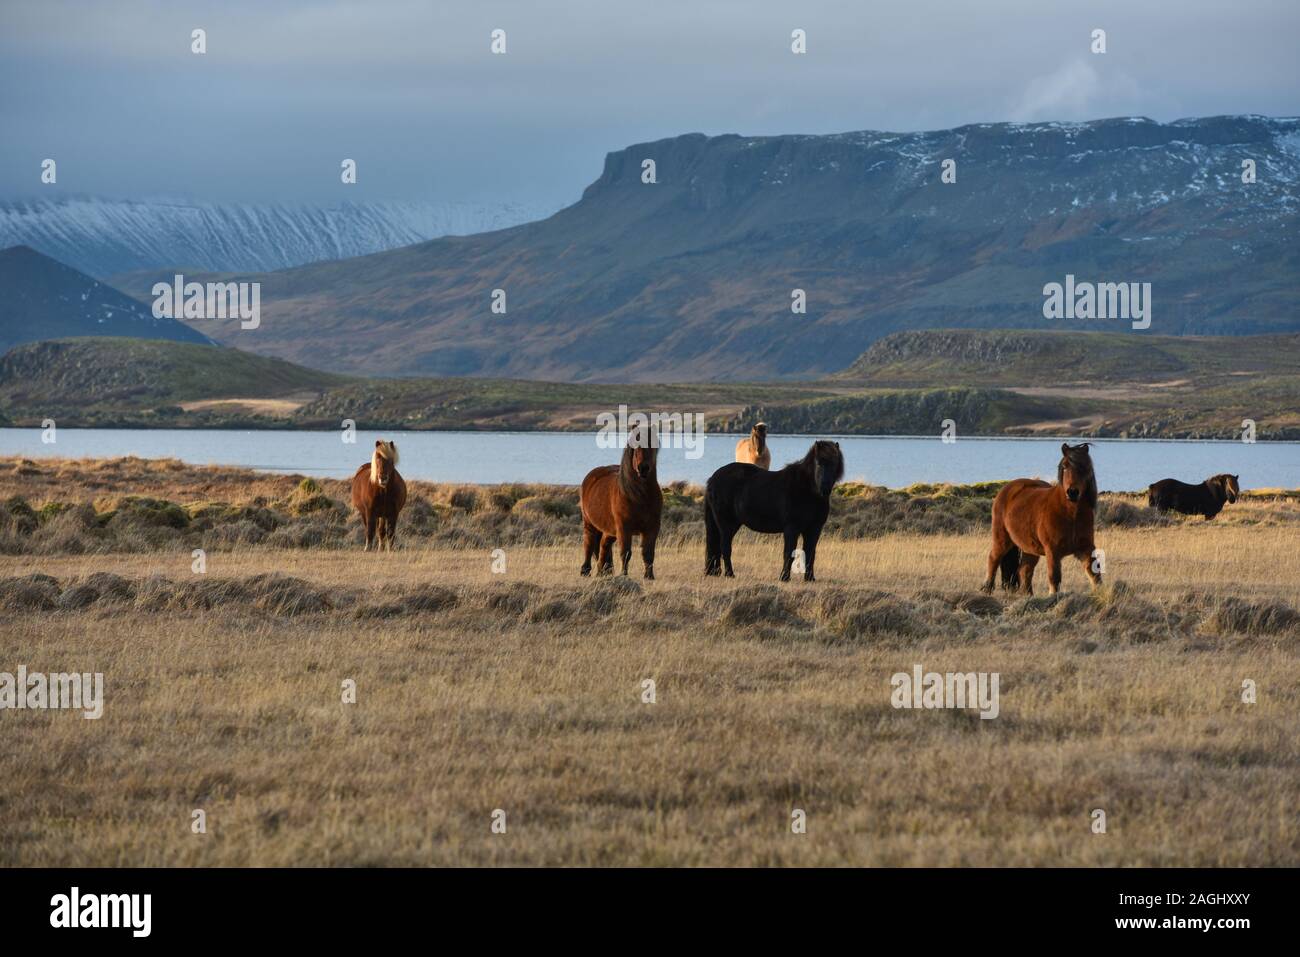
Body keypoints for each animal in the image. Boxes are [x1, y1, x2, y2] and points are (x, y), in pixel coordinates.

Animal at [579, 429, 660, 579]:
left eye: (652, 445)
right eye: (635, 446)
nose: (643, 468)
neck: (640, 496)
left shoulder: (652, 528)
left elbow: (648, 552)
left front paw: (649, 576)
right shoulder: (624, 528)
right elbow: (626, 552)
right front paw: (624, 574)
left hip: (610, 530)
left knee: (604, 545)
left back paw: (603, 571)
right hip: (589, 523)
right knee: (589, 543)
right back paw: (585, 571)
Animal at [707, 436, 847, 579]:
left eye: (835, 464)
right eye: (818, 463)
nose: (825, 489)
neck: (807, 491)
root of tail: (713, 478)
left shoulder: (814, 529)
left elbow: (810, 554)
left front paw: (809, 578)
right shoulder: (791, 528)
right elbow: (789, 553)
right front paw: (784, 577)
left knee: (717, 548)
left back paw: (716, 572)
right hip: (727, 524)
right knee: (725, 547)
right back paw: (730, 574)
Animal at [977, 442, 1102, 595]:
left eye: (1084, 467)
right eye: (1065, 466)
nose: (1072, 492)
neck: (1070, 514)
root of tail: (1006, 490)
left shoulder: (1086, 548)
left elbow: (1095, 575)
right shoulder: (1052, 551)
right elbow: (1054, 577)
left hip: (1029, 548)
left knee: (1024, 570)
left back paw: (1028, 595)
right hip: (1002, 539)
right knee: (993, 559)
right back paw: (987, 589)